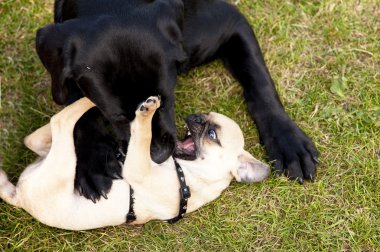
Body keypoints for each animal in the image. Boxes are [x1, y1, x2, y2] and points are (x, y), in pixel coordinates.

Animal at [0, 96, 270, 230]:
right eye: (204, 116)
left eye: (212, 134)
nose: (194, 117)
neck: (192, 175)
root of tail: (21, 197)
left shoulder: (138, 167)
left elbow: (144, 134)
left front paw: (145, 114)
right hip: (53, 153)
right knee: (34, 138)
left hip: (61, 163)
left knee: (60, 120)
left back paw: (90, 98)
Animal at [37, 0, 320, 201]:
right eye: (118, 117)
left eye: (166, 98)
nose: (159, 156)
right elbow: (80, 112)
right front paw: (93, 162)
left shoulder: (231, 22)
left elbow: (260, 80)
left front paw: (288, 142)